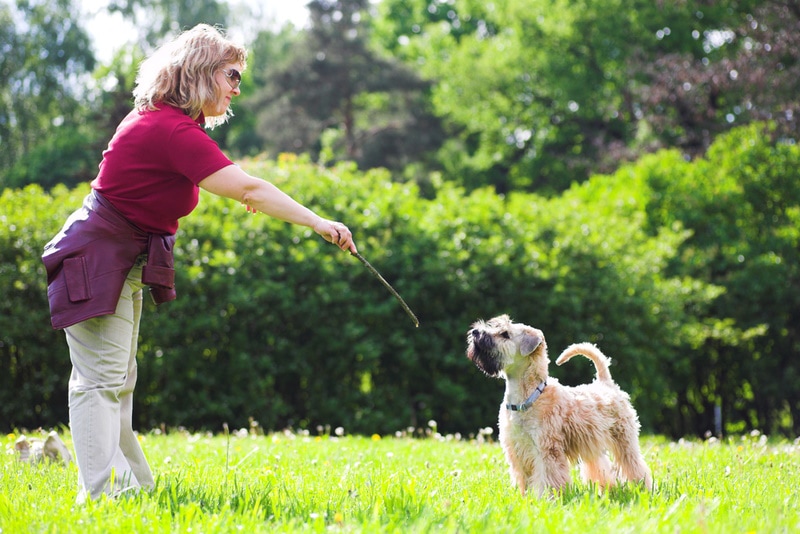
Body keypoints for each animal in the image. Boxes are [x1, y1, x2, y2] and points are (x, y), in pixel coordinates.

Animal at [466, 316, 652, 500]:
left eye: (505, 334)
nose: (475, 332)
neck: (528, 396)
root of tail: (607, 384)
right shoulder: (517, 449)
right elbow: (524, 479)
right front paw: (525, 499)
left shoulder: (547, 451)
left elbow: (547, 478)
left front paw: (547, 500)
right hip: (592, 445)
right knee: (602, 468)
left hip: (624, 440)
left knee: (634, 464)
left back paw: (644, 489)